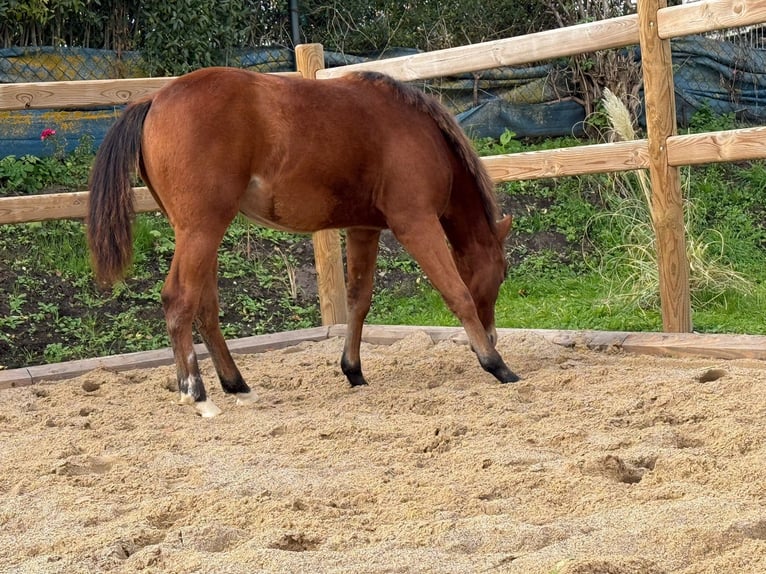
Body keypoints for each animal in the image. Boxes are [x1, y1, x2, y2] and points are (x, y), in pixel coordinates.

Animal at [87, 67, 518, 417]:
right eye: (501, 275)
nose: (493, 334)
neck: (415, 129)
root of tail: (153, 99)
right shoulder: (416, 224)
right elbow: (457, 293)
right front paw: (495, 363)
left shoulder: (363, 229)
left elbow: (359, 299)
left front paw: (353, 370)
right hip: (201, 230)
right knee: (179, 300)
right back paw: (197, 395)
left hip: (200, 233)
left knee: (205, 307)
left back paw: (237, 386)